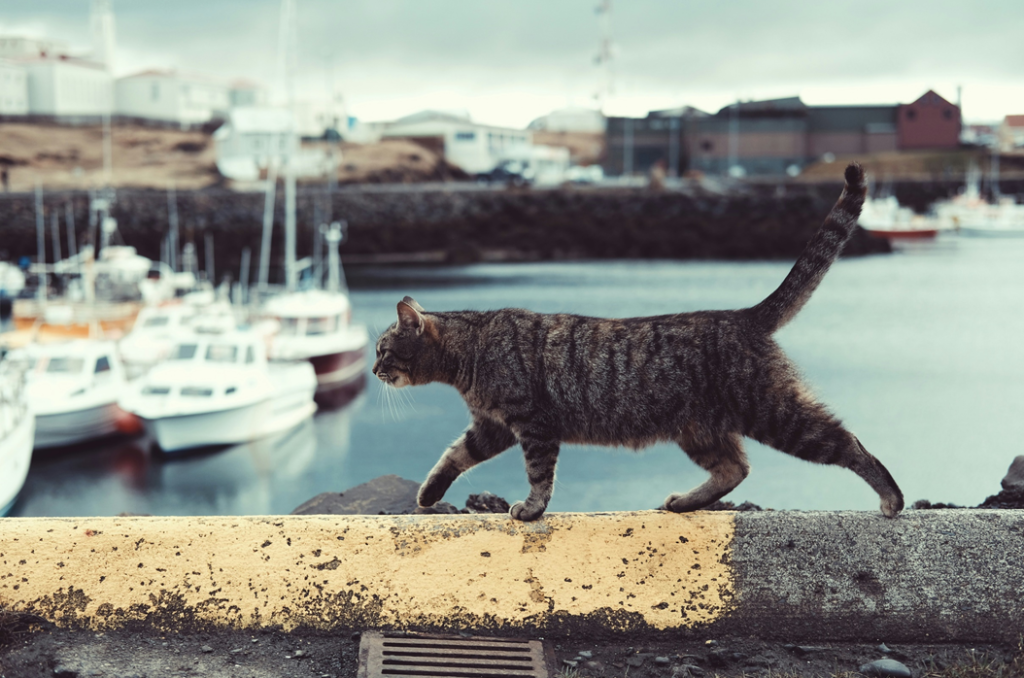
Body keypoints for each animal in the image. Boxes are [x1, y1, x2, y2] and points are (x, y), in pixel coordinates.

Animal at [374, 163, 905, 520]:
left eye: (382, 350)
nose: (375, 370)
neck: (472, 349)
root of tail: (743, 316)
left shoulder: (532, 424)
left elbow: (539, 475)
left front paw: (531, 508)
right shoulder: (492, 427)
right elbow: (452, 456)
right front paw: (428, 494)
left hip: (775, 413)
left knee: (847, 442)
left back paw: (891, 497)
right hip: (700, 430)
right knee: (734, 469)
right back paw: (686, 502)